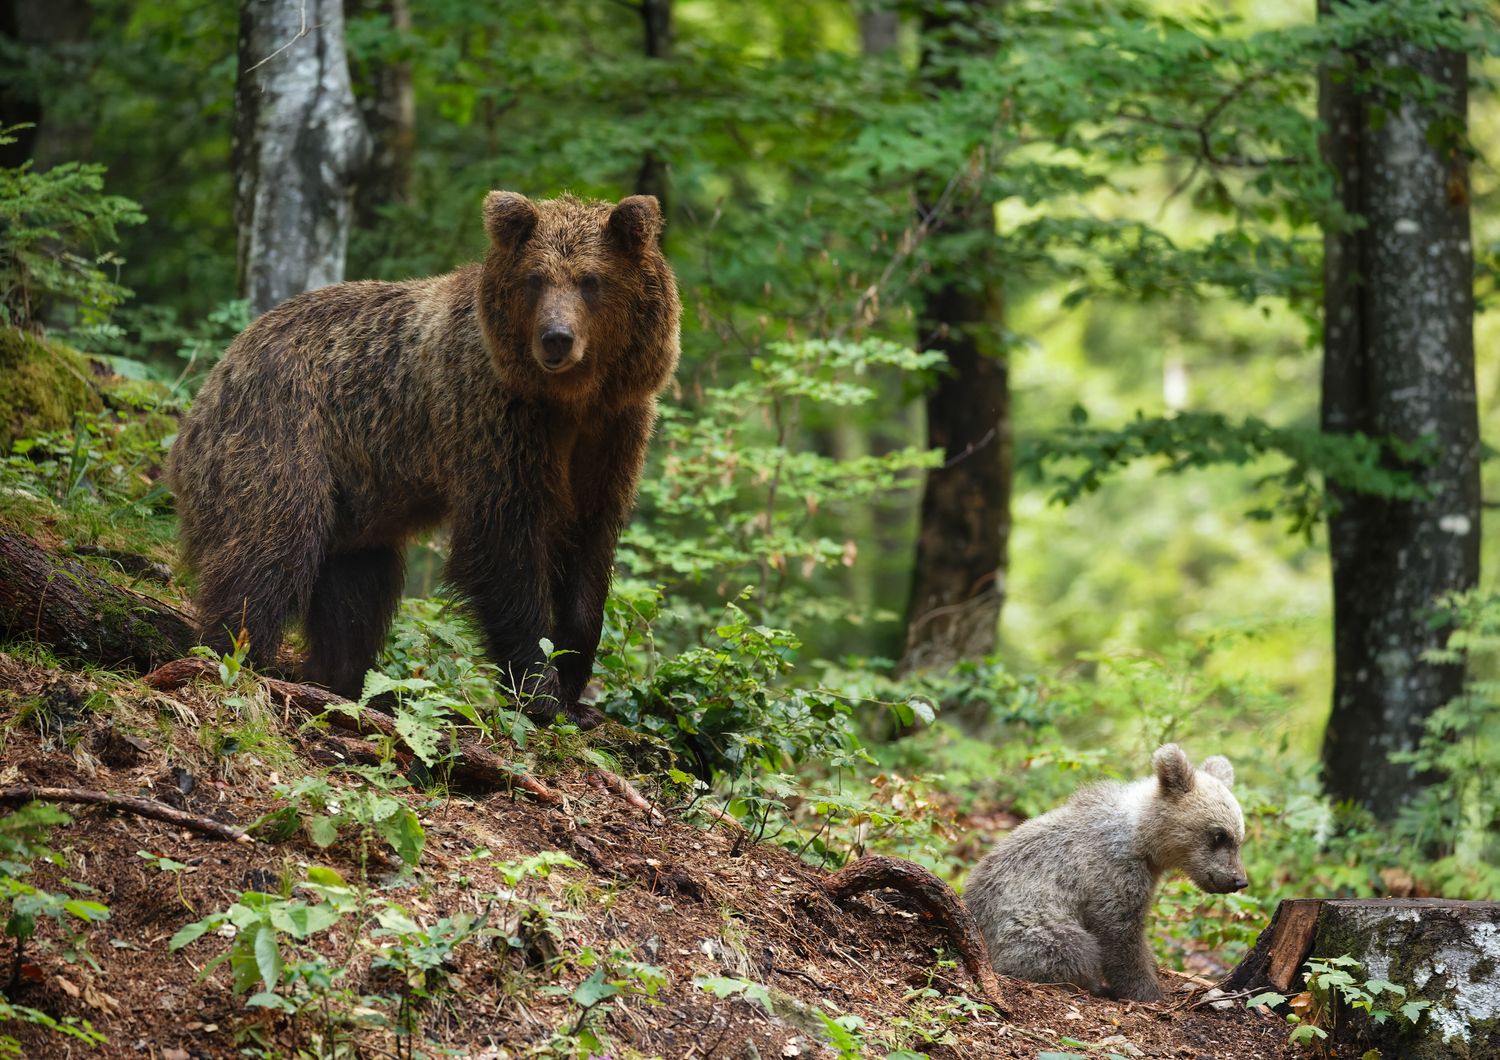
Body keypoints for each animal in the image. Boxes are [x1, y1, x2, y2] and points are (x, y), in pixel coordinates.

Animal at [170, 190, 681, 725]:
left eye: (591, 280)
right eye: (535, 279)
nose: (556, 338)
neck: (569, 400)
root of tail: (217, 373)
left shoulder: (613, 432)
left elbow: (588, 553)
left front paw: (576, 688)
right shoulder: (495, 421)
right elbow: (505, 548)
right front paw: (540, 690)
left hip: (357, 506)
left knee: (357, 592)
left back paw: (336, 677)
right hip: (280, 429)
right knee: (271, 544)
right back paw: (236, 654)